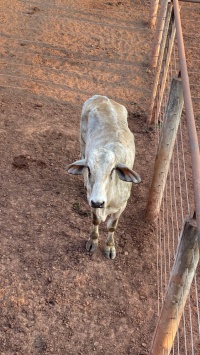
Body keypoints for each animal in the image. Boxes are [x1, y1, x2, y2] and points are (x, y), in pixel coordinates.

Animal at [67, 96, 141, 260]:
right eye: (89, 168)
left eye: (112, 170)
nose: (98, 202)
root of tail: (101, 97)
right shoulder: (91, 200)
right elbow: (95, 221)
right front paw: (92, 241)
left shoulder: (121, 206)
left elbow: (112, 226)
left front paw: (109, 247)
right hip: (82, 141)